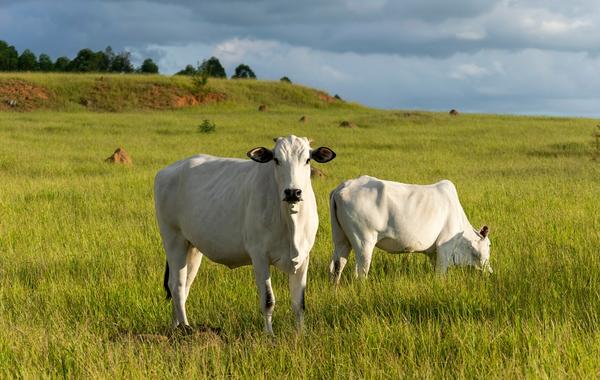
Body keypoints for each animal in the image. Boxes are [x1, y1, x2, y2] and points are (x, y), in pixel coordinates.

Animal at [155, 135, 336, 334]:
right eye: (276, 160)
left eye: (307, 160)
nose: (293, 192)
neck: (290, 220)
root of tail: (167, 170)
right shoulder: (259, 256)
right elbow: (268, 300)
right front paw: (270, 335)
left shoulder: (303, 257)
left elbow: (299, 303)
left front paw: (300, 334)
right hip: (173, 240)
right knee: (176, 285)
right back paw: (186, 329)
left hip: (192, 247)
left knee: (184, 285)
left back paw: (175, 328)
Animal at [328, 175, 492, 282]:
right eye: (489, 245)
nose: (490, 272)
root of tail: (342, 188)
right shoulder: (445, 247)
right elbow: (440, 274)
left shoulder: (434, 253)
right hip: (364, 242)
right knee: (361, 273)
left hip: (341, 239)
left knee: (336, 266)